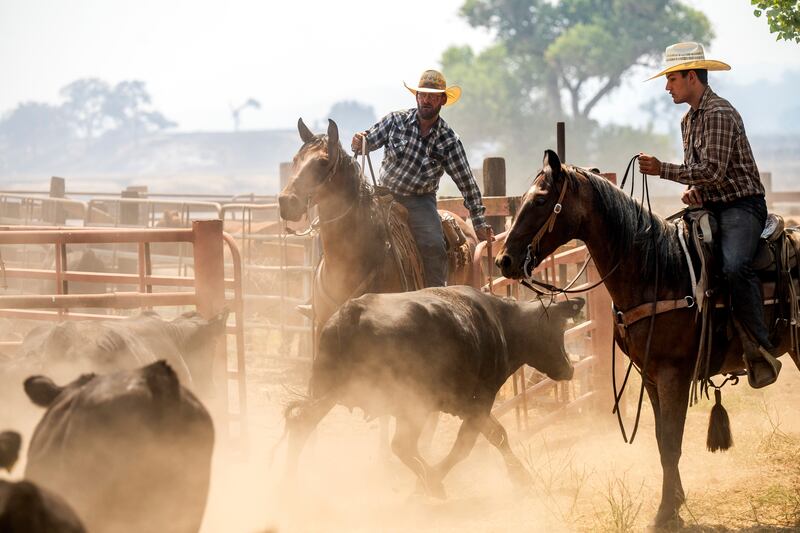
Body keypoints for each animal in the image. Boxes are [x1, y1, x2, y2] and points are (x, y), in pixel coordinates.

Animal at [284, 286, 584, 498]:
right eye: (559, 328)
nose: (570, 368)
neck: (501, 323)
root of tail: (353, 312)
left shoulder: (468, 405)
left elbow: (496, 434)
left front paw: (519, 475)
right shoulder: (480, 399)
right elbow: (470, 443)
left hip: (329, 392)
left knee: (301, 424)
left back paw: (288, 484)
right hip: (411, 403)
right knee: (402, 445)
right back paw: (432, 483)